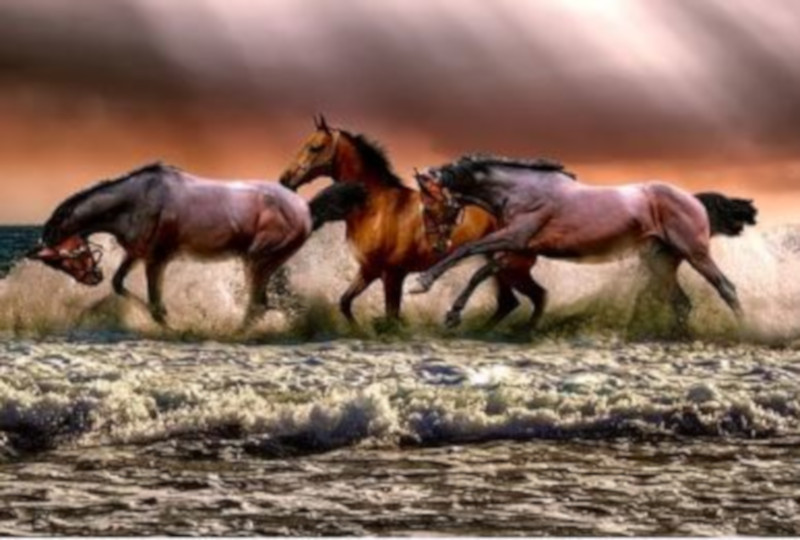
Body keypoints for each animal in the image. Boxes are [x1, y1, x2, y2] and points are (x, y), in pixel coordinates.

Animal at [27, 162, 366, 328]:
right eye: (57, 264)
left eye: (63, 256)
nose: (90, 277)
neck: (135, 201)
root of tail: (306, 208)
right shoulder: (136, 254)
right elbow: (119, 285)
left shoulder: (157, 259)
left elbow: (155, 304)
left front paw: (174, 326)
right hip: (264, 264)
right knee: (261, 303)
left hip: (257, 260)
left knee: (256, 305)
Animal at [279, 115, 539, 327]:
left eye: (314, 148)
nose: (285, 180)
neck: (376, 208)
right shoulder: (368, 271)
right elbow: (345, 302)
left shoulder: (392, 275)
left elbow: (391, 317)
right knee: (510, 302)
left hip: (511, 268)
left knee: (529, 298)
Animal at [411, 154, 758, 333]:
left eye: (428, 207)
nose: (436, 243)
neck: (520, 190)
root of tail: (693, 199)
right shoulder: (518, 249)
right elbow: (480, 272)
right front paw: (452, 314)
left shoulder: (515, 238)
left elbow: (467, 251)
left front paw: (422, 282)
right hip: (660, 261)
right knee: (682, 302)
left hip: (695, 254)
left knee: (726, 287)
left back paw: (746, 331)